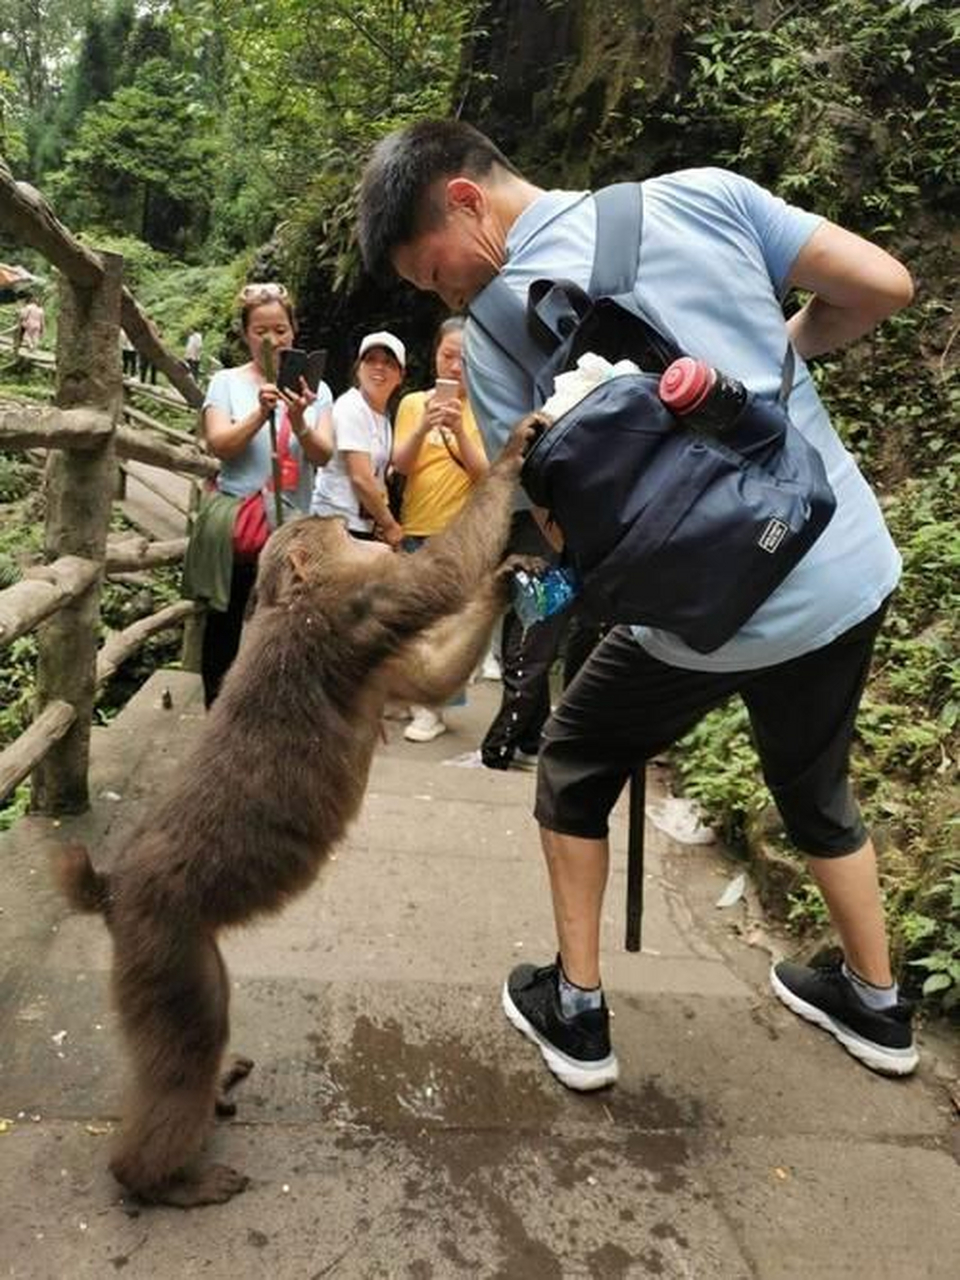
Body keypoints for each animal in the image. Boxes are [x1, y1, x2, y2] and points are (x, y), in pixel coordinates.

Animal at [56, 412, 545, 1208]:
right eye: (328, 525)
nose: (354, 517)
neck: (290, 602)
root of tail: (111, 889)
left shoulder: (373, 651)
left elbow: (431, 679)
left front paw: (507, 582)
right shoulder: (357, 615)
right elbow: (439, 578)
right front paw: (510, 456)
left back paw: (215, 1094)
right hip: (164, 946)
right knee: (191, 1037)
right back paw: (162, 1180)